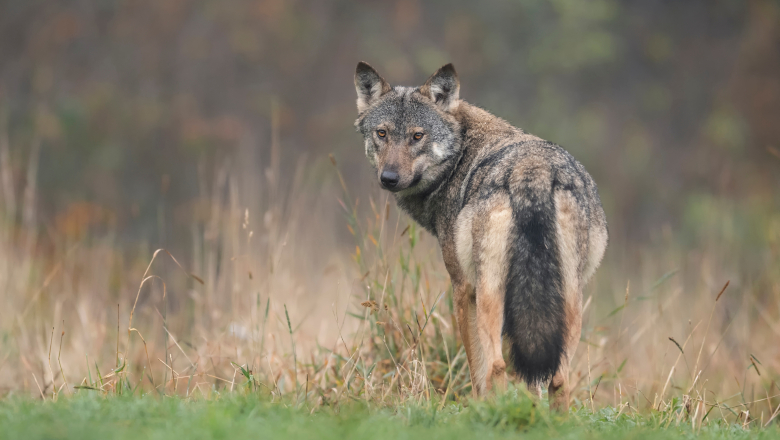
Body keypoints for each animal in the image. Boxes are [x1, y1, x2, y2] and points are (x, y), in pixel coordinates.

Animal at [354, 61, 608, 410]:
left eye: (417, 136)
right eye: (382, 134)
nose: (389, 178)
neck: (459, 156)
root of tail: (533, 170)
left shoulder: (463, 289)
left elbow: (477, 369)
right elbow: (533, 382)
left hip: (491, 293)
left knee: (498, 365)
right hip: (568, 298)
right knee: (558, 378)